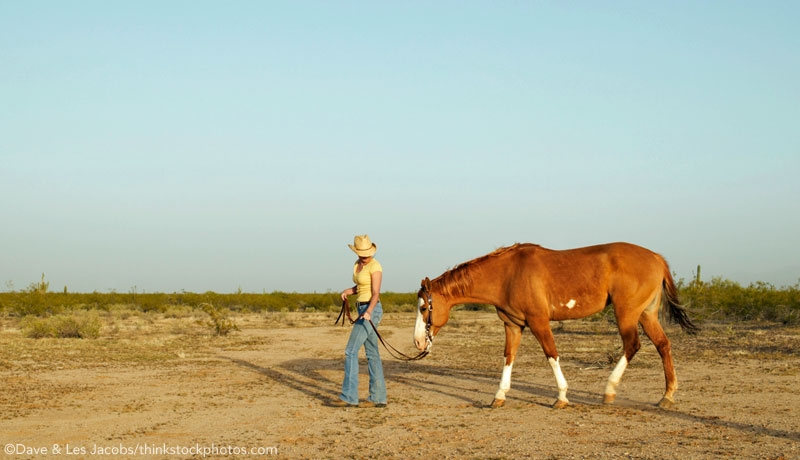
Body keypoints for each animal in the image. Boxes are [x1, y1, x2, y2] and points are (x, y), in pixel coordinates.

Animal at [412, 243, 700, 408]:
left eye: (424, 308)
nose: (417, 342)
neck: (508, 274)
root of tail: (656, 257)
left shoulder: (539, 322)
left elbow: (551, 354)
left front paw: (561, 397)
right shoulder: (513, 325)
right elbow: (508, 358)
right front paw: (499, 396)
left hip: (626, 313)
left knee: (632, 345)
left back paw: (609, 391)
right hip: (646, 314)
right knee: (663, 345)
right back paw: (667, 396)